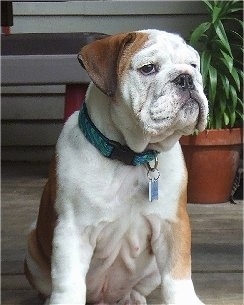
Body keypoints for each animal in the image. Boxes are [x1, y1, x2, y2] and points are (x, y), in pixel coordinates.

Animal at [24, 29, 208, 304]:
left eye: (193, 65)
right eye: (148, 68)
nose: (186, 78)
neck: (131, 156)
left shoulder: (172, 224)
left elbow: (178, 276)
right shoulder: (72, 231)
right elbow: (69, 283)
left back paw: (132, 297)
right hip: (32, 245)